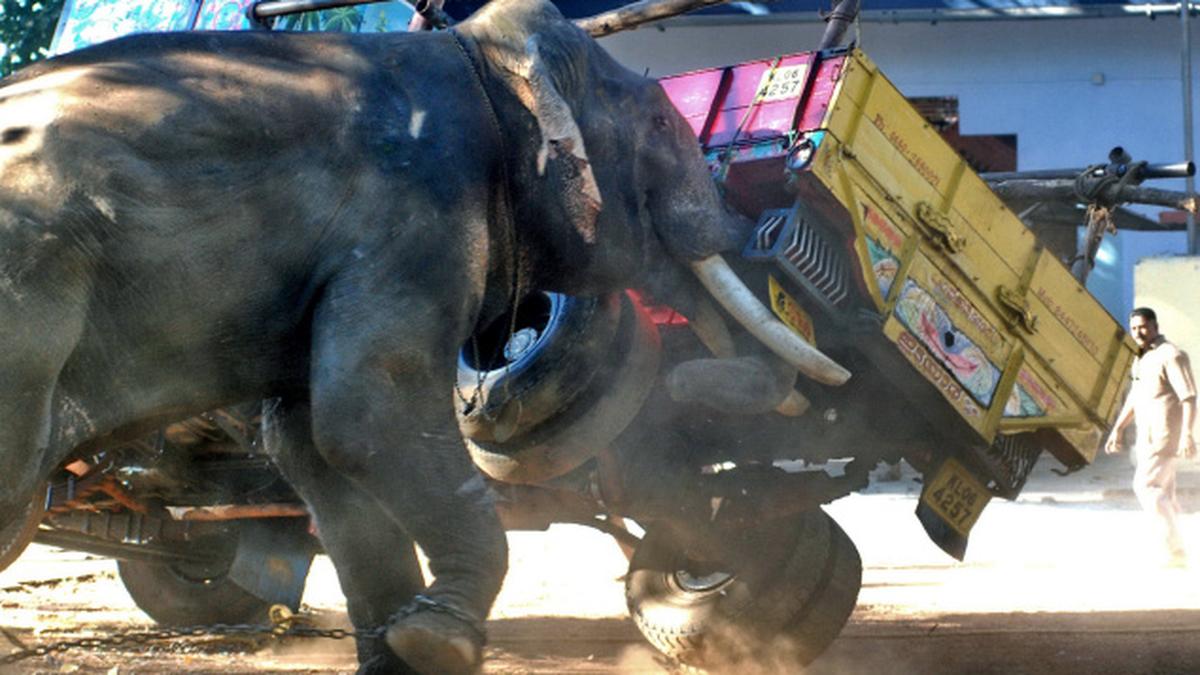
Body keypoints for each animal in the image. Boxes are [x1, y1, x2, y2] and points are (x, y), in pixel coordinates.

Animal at [0, 0, 848, 671]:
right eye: (661, 128)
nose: (769, 233)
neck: (474, 53)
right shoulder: (416, 211)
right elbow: (369, 412)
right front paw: (441, 636)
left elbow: (316, 447)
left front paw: (407, 646)